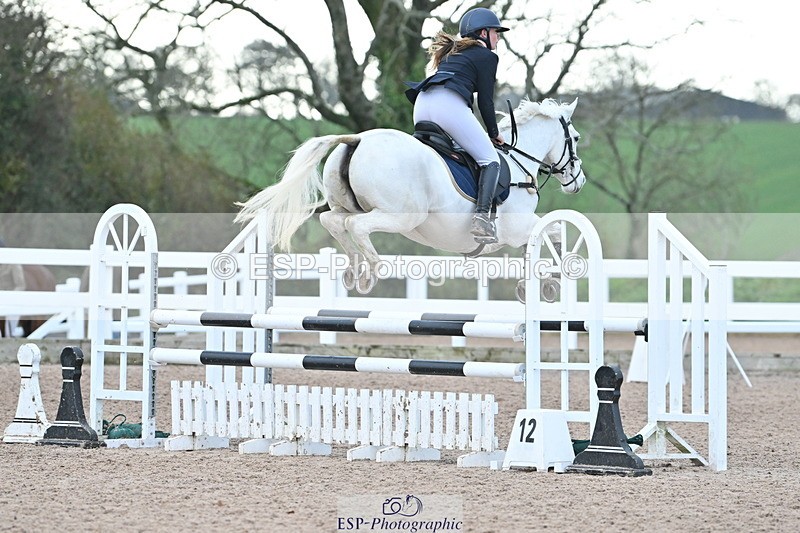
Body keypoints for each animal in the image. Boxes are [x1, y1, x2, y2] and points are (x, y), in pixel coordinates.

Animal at [236, 98, 586, 298]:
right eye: (576, 138)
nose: (578, 181)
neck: (518, 162)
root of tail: (357, 138)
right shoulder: (515, 229)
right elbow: (552, 231)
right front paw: (552, 279)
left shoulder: (506, 237)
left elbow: (537, 243)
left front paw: (534, 285)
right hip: (401, 216)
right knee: (356, 226)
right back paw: (370, 272)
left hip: (348, 206)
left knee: (333, 220)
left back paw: (352, 271)